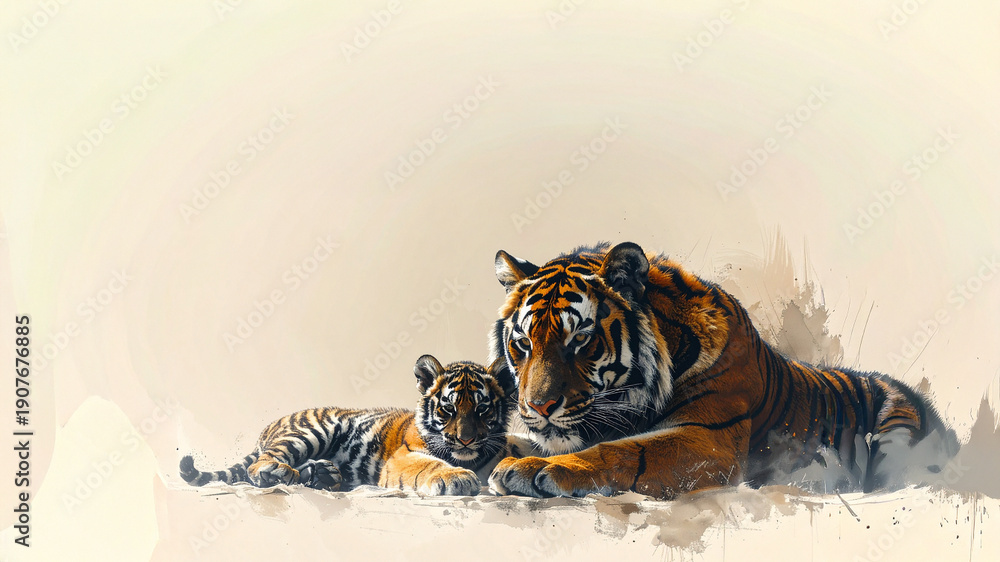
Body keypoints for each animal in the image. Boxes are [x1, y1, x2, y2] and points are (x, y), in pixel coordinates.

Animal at [180, 355, 526, 496]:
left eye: (482, 409)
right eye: (448, 408)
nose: (466, 440)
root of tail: (270, 426)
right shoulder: (403, 457)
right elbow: (430, 465)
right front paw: (457, 477)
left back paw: (319, 474)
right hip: (311, 431)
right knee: (262, 465)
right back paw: (279, 472)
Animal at [487, 241, 959, 499]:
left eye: (580, 340)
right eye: (524, 343)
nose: (538, 407)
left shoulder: (708, 439)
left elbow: (622, 450)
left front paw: (533, 469)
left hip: (897, 433)